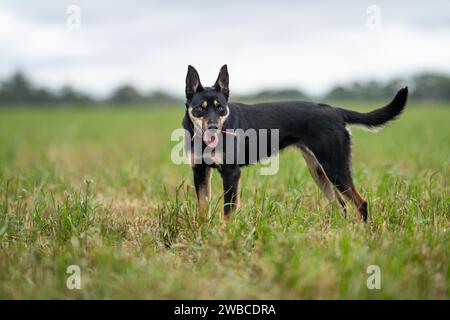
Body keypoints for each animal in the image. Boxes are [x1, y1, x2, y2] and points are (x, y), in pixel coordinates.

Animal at [183, 63, 408, 221]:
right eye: (200, 108)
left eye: (220, 108)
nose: (213, 127)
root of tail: (335, 110)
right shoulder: (200, 172)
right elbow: (202, 209)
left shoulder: (231, 173)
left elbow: (228, 213)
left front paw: (225, 238)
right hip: (318, 170)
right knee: (341, 206)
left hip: (335, 168)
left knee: (361, 204)